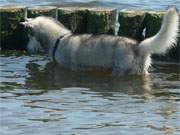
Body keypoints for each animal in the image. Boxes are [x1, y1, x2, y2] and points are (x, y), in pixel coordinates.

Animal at [20, 6, 179, 75]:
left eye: (29, 36)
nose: (26, 49)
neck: (59, 40)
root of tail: (138, 46)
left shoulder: (71, 67)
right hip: (141, 71)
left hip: (120, 69)